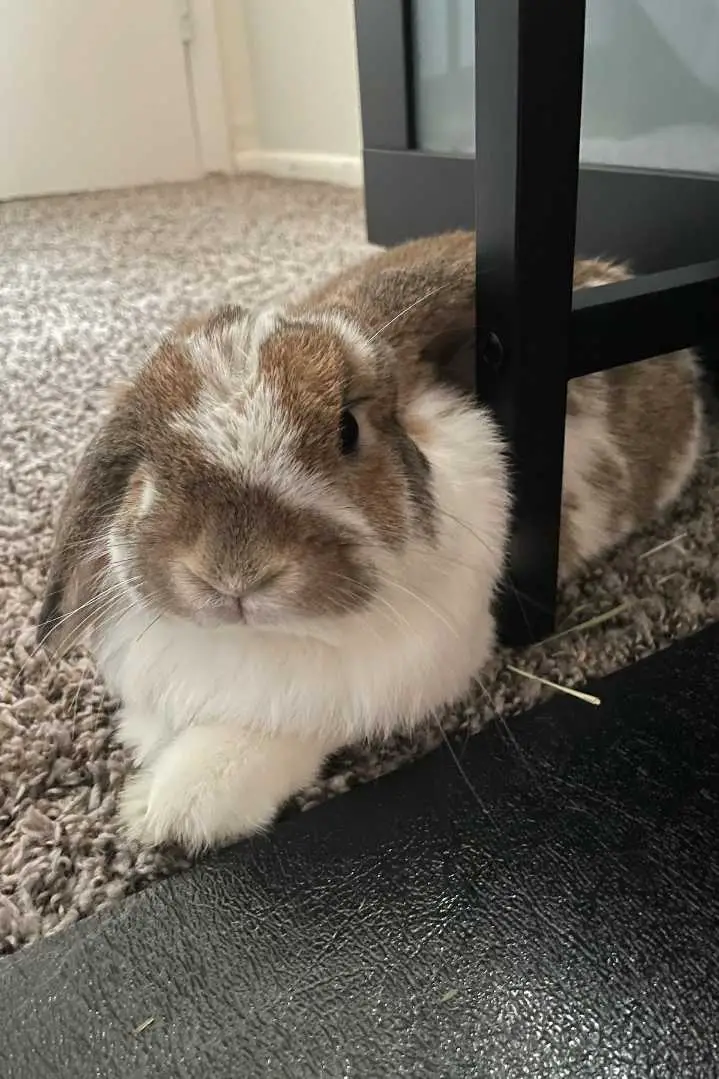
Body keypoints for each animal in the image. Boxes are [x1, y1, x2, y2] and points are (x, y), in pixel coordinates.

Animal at [37, 229, 699, 850]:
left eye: (348, 429)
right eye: (147, 451)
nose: (232, 573)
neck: (267, 640)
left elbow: (283, 730)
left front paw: (172, 808)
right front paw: (147, 746)